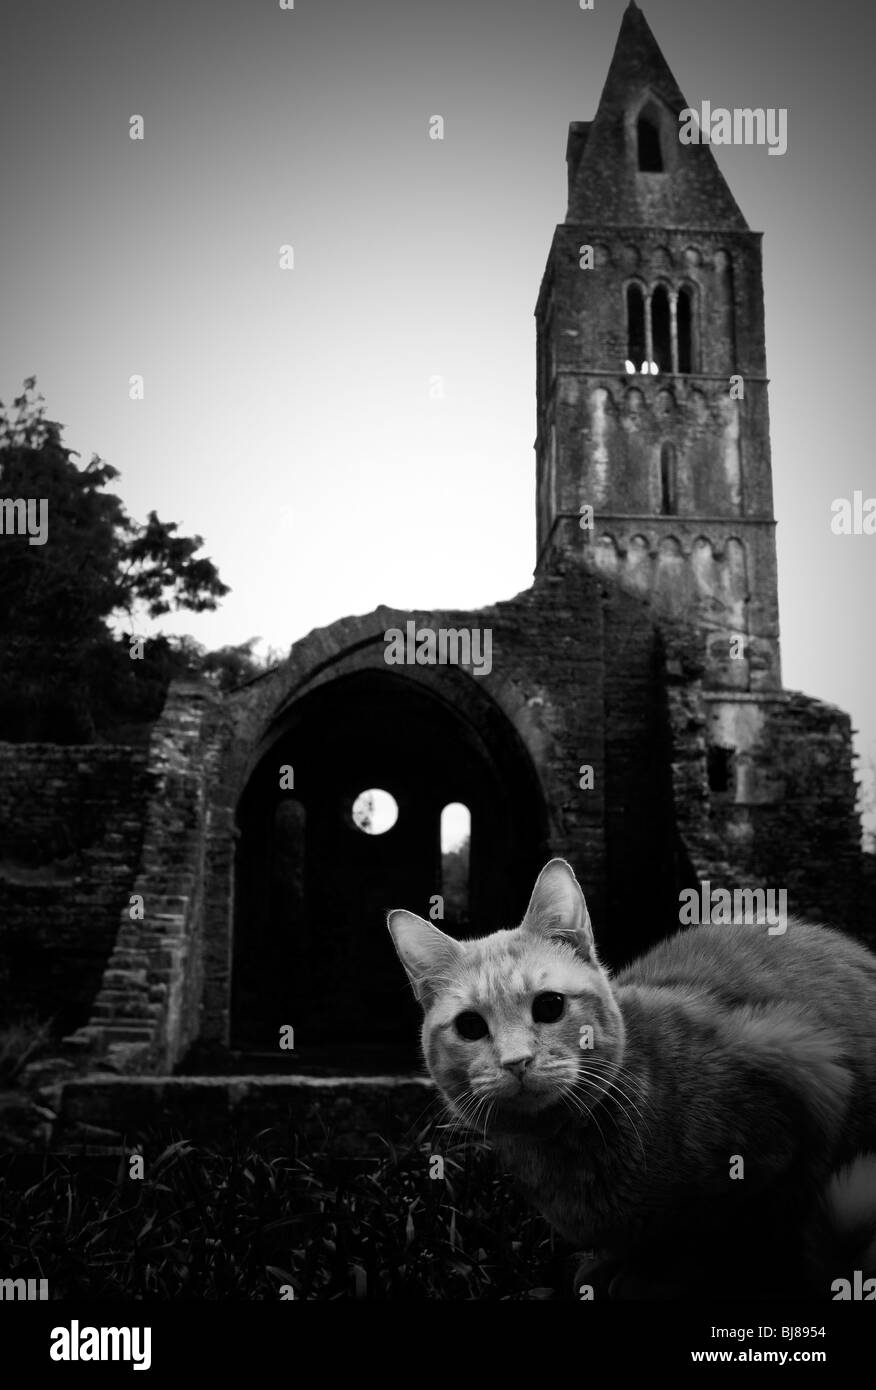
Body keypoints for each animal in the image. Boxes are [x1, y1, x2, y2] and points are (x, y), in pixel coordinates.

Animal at [392, 856, 876, 1301]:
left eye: (549, 1006)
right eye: (470, 1026)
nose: (516, 1061)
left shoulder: (807, 1076)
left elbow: (722, 1237)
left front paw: (655, 1275)